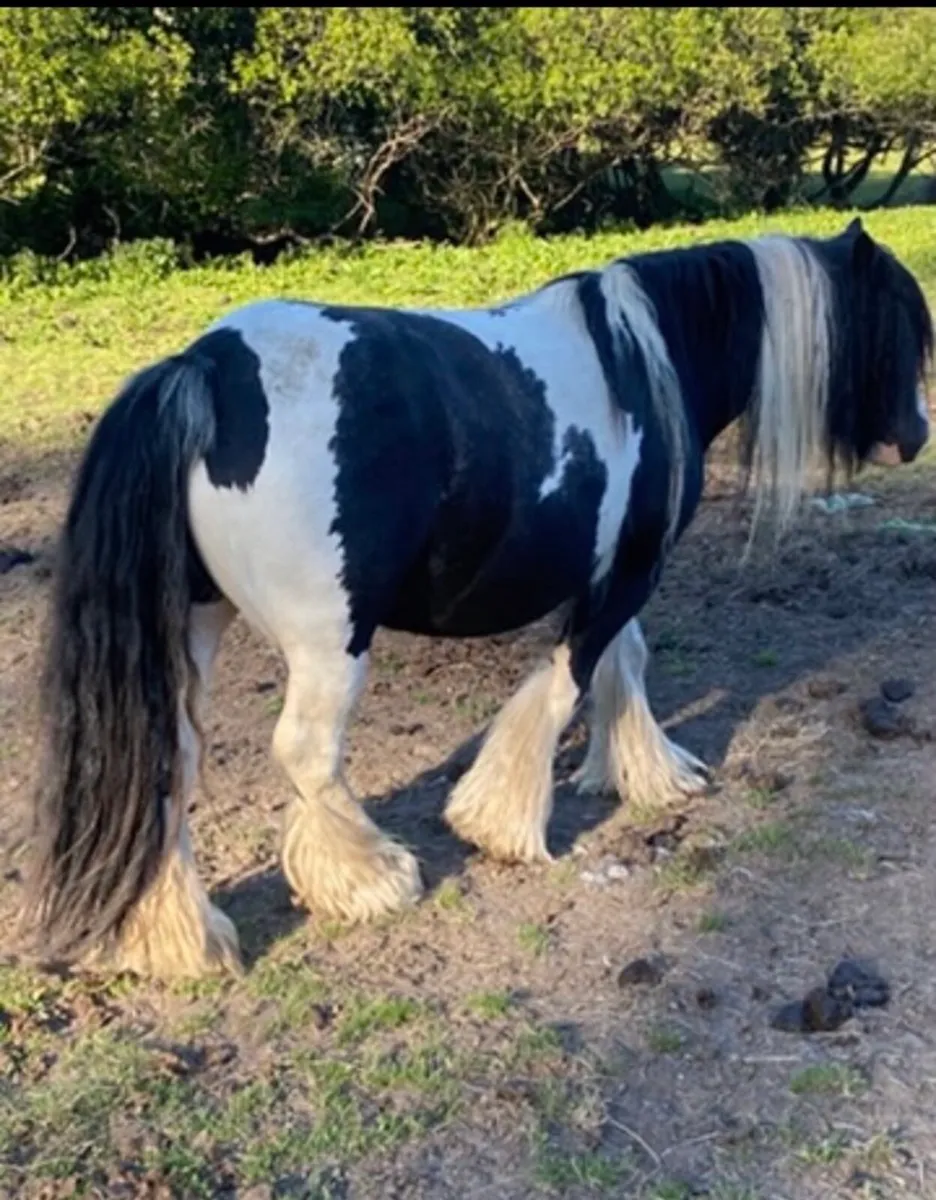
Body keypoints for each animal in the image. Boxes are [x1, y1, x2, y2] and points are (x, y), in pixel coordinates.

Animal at [19, 217, 932, 980]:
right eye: (895, 326)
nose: (916, 436)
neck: (648, 363)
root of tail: (205, 373)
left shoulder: (618, 575)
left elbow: (622, 665)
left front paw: (640, 774)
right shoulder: (627, 575)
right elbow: (567, 680)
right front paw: (504, 824)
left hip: (197, 625)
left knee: (172, 762)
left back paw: (182, 938)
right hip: (329, 642)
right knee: (308, 755)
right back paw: (372, 880)